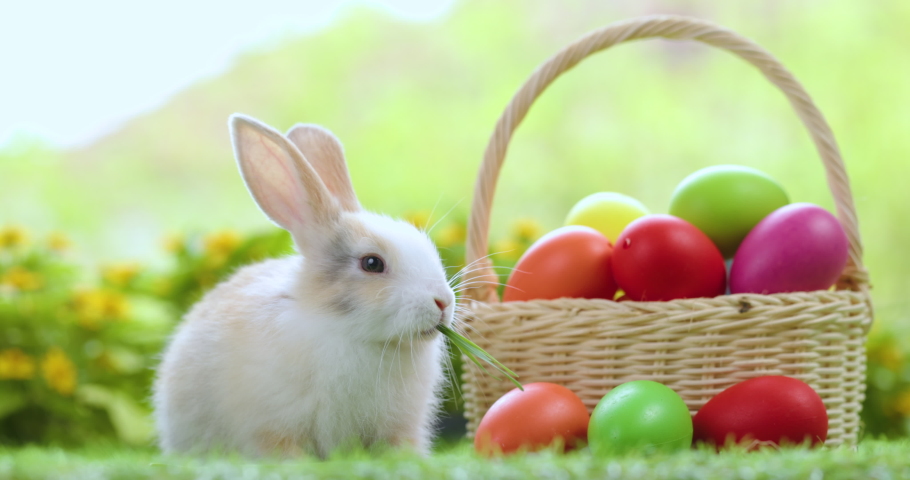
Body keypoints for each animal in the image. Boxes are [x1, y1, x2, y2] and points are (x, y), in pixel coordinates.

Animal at [156, 114, 460, 460]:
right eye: (372, 263)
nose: (443, 302)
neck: (352, 333)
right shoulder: (272, 427)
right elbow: (285, 452)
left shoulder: (399, 428)